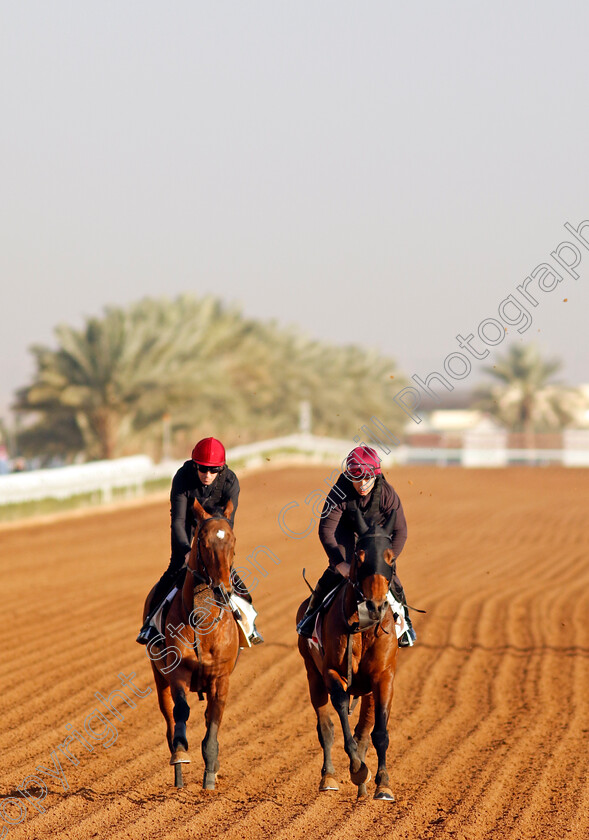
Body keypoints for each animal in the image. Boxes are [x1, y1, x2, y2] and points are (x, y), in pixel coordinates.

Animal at [142, 502, 239, 792]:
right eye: (204, 543)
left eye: (232, 541)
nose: (223, 591)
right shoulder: (177, 674)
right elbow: (181, 711)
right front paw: (181, 753)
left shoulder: (221, 677)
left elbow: (214, 719)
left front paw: (210, 775)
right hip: (158, 676)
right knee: (169, 718)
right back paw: (178, 775)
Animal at [296, 508, 398, 804]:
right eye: (359, 556)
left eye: (390, 557)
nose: (375, 605)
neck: (363, 627)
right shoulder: (332, 672)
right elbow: (340, 714)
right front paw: (356, 768)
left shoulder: (383, 677)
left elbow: (378, 733)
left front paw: (383, 784)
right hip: (313, 676)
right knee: (326, 728)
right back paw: (329, 777)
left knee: (364, 730)